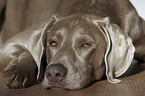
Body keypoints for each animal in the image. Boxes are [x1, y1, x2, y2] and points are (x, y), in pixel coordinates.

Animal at [0, 0, 144, 90]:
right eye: (52, 43)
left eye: (86, 44)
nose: (54, 73)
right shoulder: (9, 44)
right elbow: (27, 52)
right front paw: (18, 72)